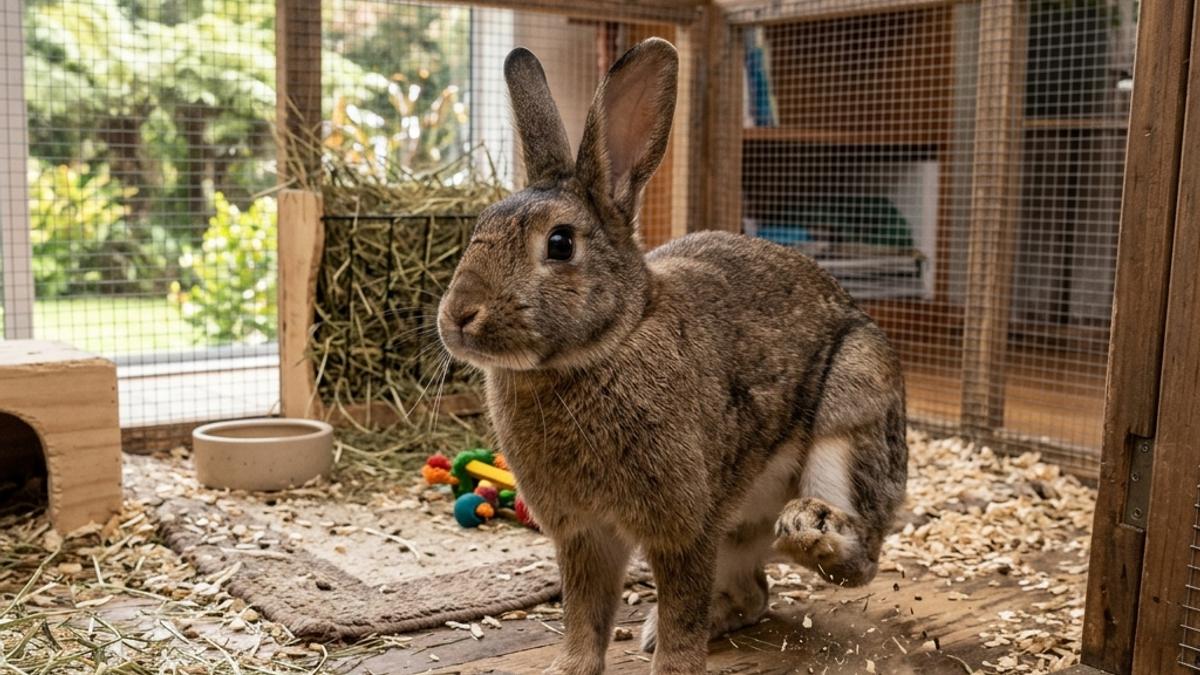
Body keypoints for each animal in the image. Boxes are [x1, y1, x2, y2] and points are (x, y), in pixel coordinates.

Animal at [436, 38, 907, 675]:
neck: (604, 347)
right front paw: (573, 667)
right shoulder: (583, 534)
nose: (459, 315)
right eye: (479, 228)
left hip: (852, 411)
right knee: (753, 593)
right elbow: (584, 618)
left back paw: (812, 530)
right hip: (736, 533)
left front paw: (673, 662)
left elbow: (680, 612)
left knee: (860, 557)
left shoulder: (683, 528)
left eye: (559, 243)